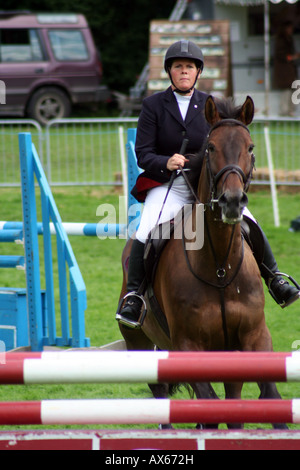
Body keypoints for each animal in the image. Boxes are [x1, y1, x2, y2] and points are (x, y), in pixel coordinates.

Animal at [117, 95, 286, 430]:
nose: (232, 202)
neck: (219, 266)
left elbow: (269, 399)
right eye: (211, 147)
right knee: (160, 395)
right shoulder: (188, 346)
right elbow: (209, 406)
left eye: (250, 147)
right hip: (139, 343)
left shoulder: (255, 337)